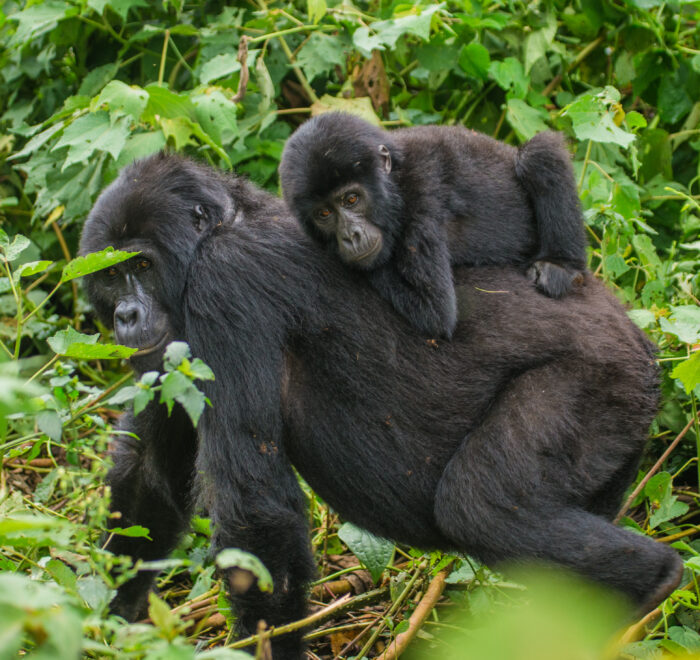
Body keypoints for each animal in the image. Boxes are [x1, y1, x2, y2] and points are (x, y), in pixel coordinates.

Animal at [80, 153, 680, 656]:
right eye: (111, 274)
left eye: (142, 265)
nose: (126, 316)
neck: (224, 225)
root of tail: (638, 334)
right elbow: (148, 481)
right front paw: (106, 624)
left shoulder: (224, 283)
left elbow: (255, 514)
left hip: (604, 374)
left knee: (482, 505)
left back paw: (652, 583)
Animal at [278, 111, 584, 338]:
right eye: (324, 214)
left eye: (351, 199)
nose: (350, 236)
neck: (395, 180)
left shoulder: (421, 199)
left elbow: (434, 311)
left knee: (540, 154)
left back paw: (561, 265)